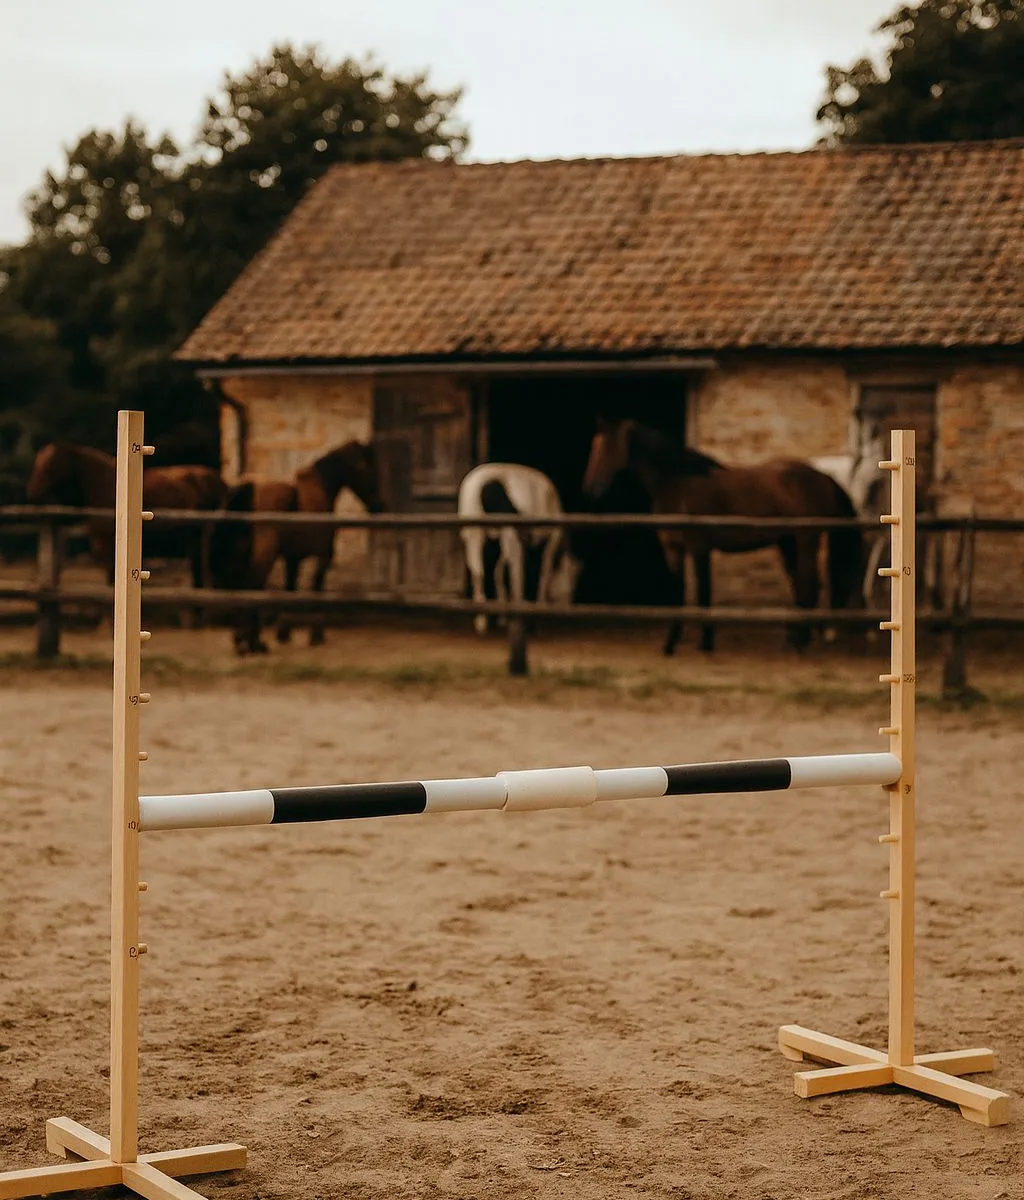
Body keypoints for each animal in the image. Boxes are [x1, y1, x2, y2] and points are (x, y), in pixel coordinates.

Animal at [209, 441, 384, 654]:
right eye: (369, 469)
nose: (379, 505)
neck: (321, 486)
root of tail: (247, 486)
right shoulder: (323, 556)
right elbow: (316, 589)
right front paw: (316, 636)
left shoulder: (292, 558)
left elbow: (289, 589)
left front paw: (283, 634)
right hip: (264, 555)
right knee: (252, 586)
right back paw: (254, 643)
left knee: (240, 587)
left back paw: (243, 640)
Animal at [457, 463, 580, 635]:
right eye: (574, 582)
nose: (570, 605)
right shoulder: (552, 537)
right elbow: (543, 571)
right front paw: (539, 610)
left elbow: (499, 572)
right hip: (509, 530)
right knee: (514, 572)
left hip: (473, 527)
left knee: (480, 571)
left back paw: (483, 622)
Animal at [581, 418, 863, 655]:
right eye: (594, 446)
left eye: (608, 446)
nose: (589, 488)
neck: (678, 484)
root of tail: (824, 477)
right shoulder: (674, 549)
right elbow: (678, 593)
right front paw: (670, 644)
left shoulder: (699, 548)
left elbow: (704, 593)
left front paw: (706, 643)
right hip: (788, 543)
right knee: (804, 585)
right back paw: (796, 638)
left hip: (806, 540)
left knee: (808, 584)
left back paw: (800, 640)